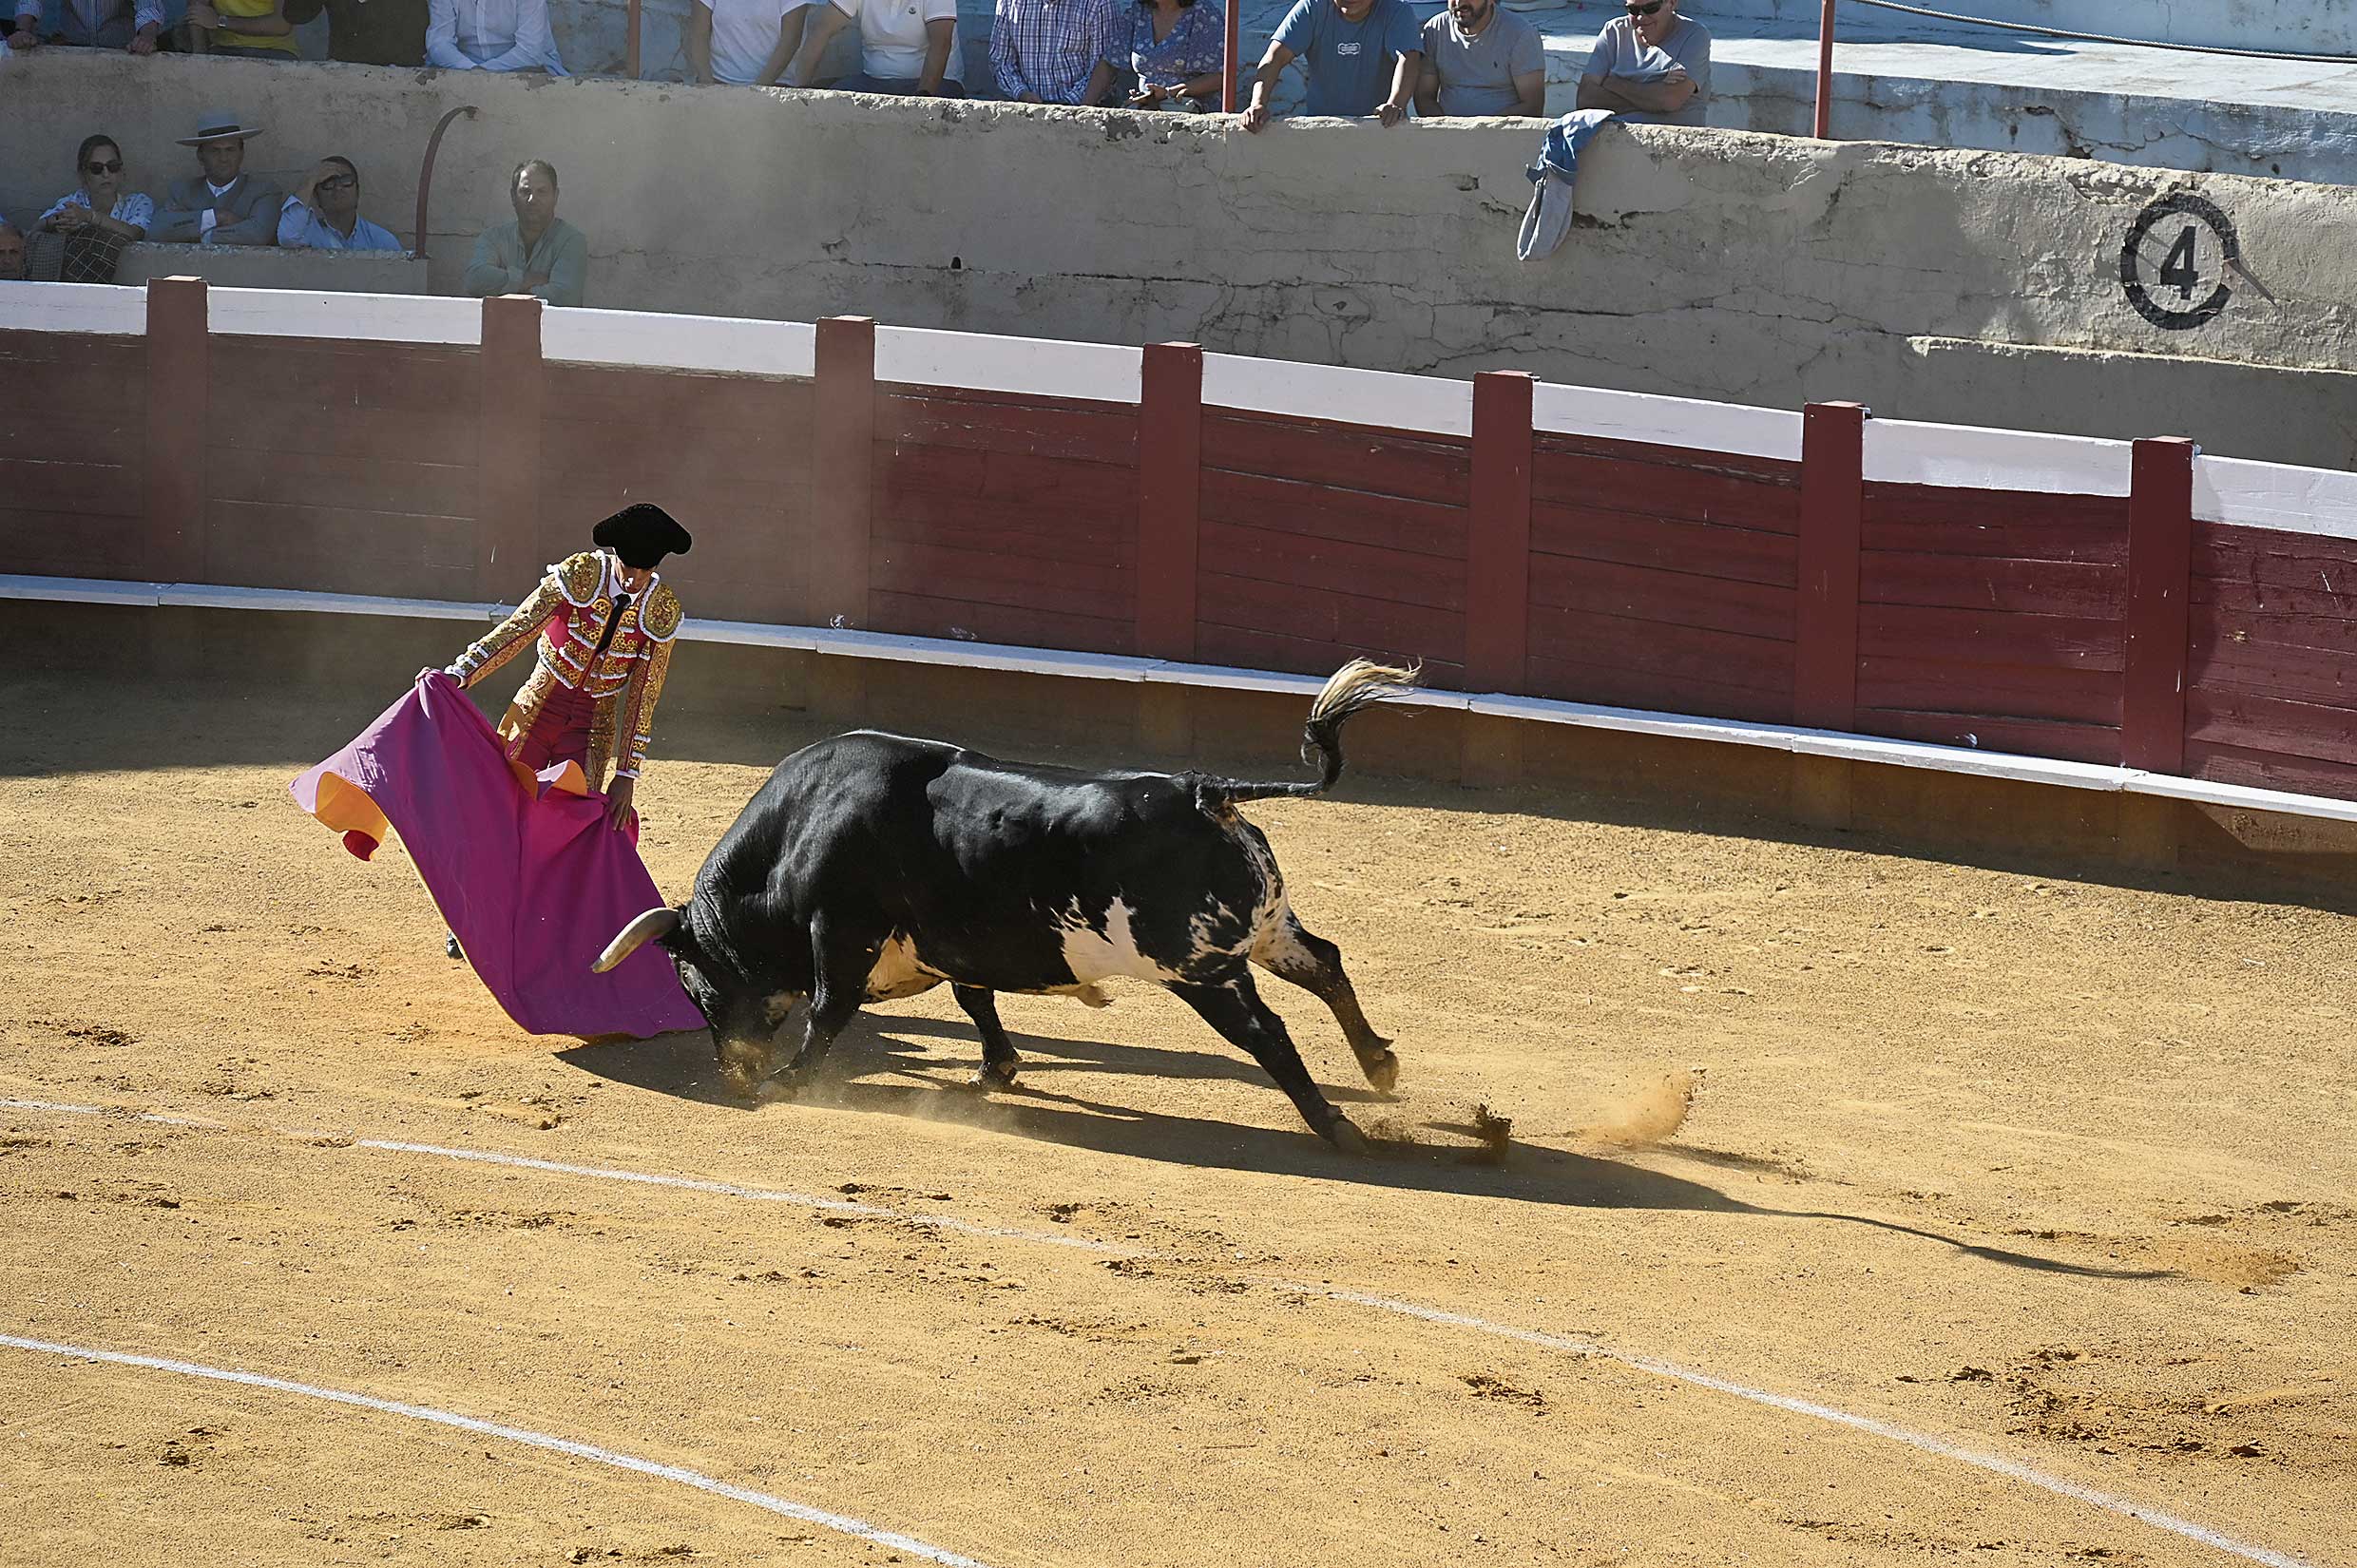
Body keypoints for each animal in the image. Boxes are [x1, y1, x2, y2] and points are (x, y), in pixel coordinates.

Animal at [598, 655, 1414, 1145]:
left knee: (1265, 1032)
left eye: (694, 983)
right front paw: (996, 1069)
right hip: (1269, 930)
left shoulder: (842, 929)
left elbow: (830, 1008)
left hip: (1200, 968)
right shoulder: (953, 938)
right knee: (1326, 964)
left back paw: (1335, 1124)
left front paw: (788, 1082)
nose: (733, 1074)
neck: (798, 832)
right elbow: (975, 998)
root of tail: (1204, 792)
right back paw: (1378, 1065)